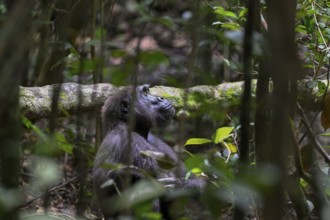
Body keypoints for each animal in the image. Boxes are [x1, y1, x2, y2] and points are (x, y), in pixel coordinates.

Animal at [91, 84, 204, 218]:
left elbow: (195, 179)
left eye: (148, 91)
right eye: (145, 94)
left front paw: (180, 185)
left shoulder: (157, 142)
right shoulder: (128, 141)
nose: (160, 97)